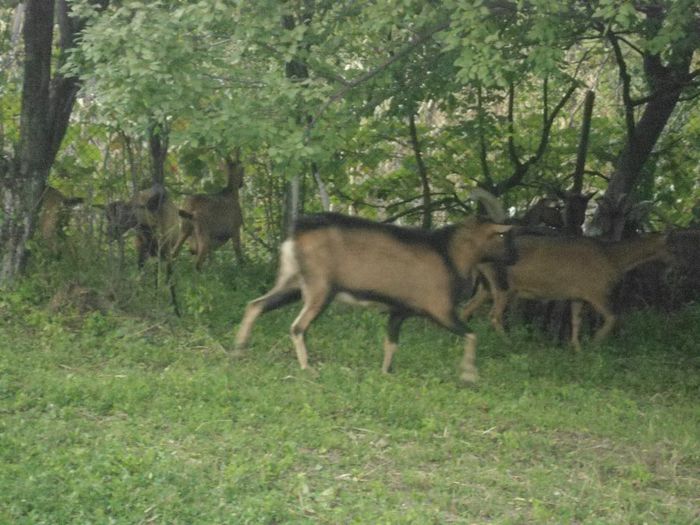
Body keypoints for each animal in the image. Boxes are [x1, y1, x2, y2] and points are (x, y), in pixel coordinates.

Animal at [235, 212, 516, 380]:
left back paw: (238, 349)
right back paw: (307, 368)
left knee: (255, 305)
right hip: (320, 288)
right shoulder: (439, 308)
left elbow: (391, 342)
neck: (448, 254)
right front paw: (469, 375)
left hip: (292, 282)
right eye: (502, 234)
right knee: (297, 326)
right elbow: (472, 334)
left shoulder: (399, 311)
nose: (514, 257)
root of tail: (297, 233)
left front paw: (386, 372)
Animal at [460, 232, 672, 348]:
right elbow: (613, 317)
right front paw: (593, 344)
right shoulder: (596, 291)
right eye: (674, 245)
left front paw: (576, 349)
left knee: (466, 308)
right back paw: (509, 343)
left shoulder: (578, 295)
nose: (673, 265)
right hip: (503, 284)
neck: (615, 259)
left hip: (486, 285)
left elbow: (575, 322)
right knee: (493, 315)